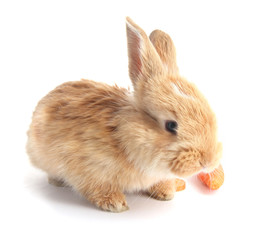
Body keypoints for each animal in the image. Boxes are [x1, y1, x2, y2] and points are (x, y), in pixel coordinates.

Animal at [25, 17, 221, 212]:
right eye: (171, 125)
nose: (208, 162)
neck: (122, 136)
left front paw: (166, 193)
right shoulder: (88, 169)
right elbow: (97, 188)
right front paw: (115, 203)